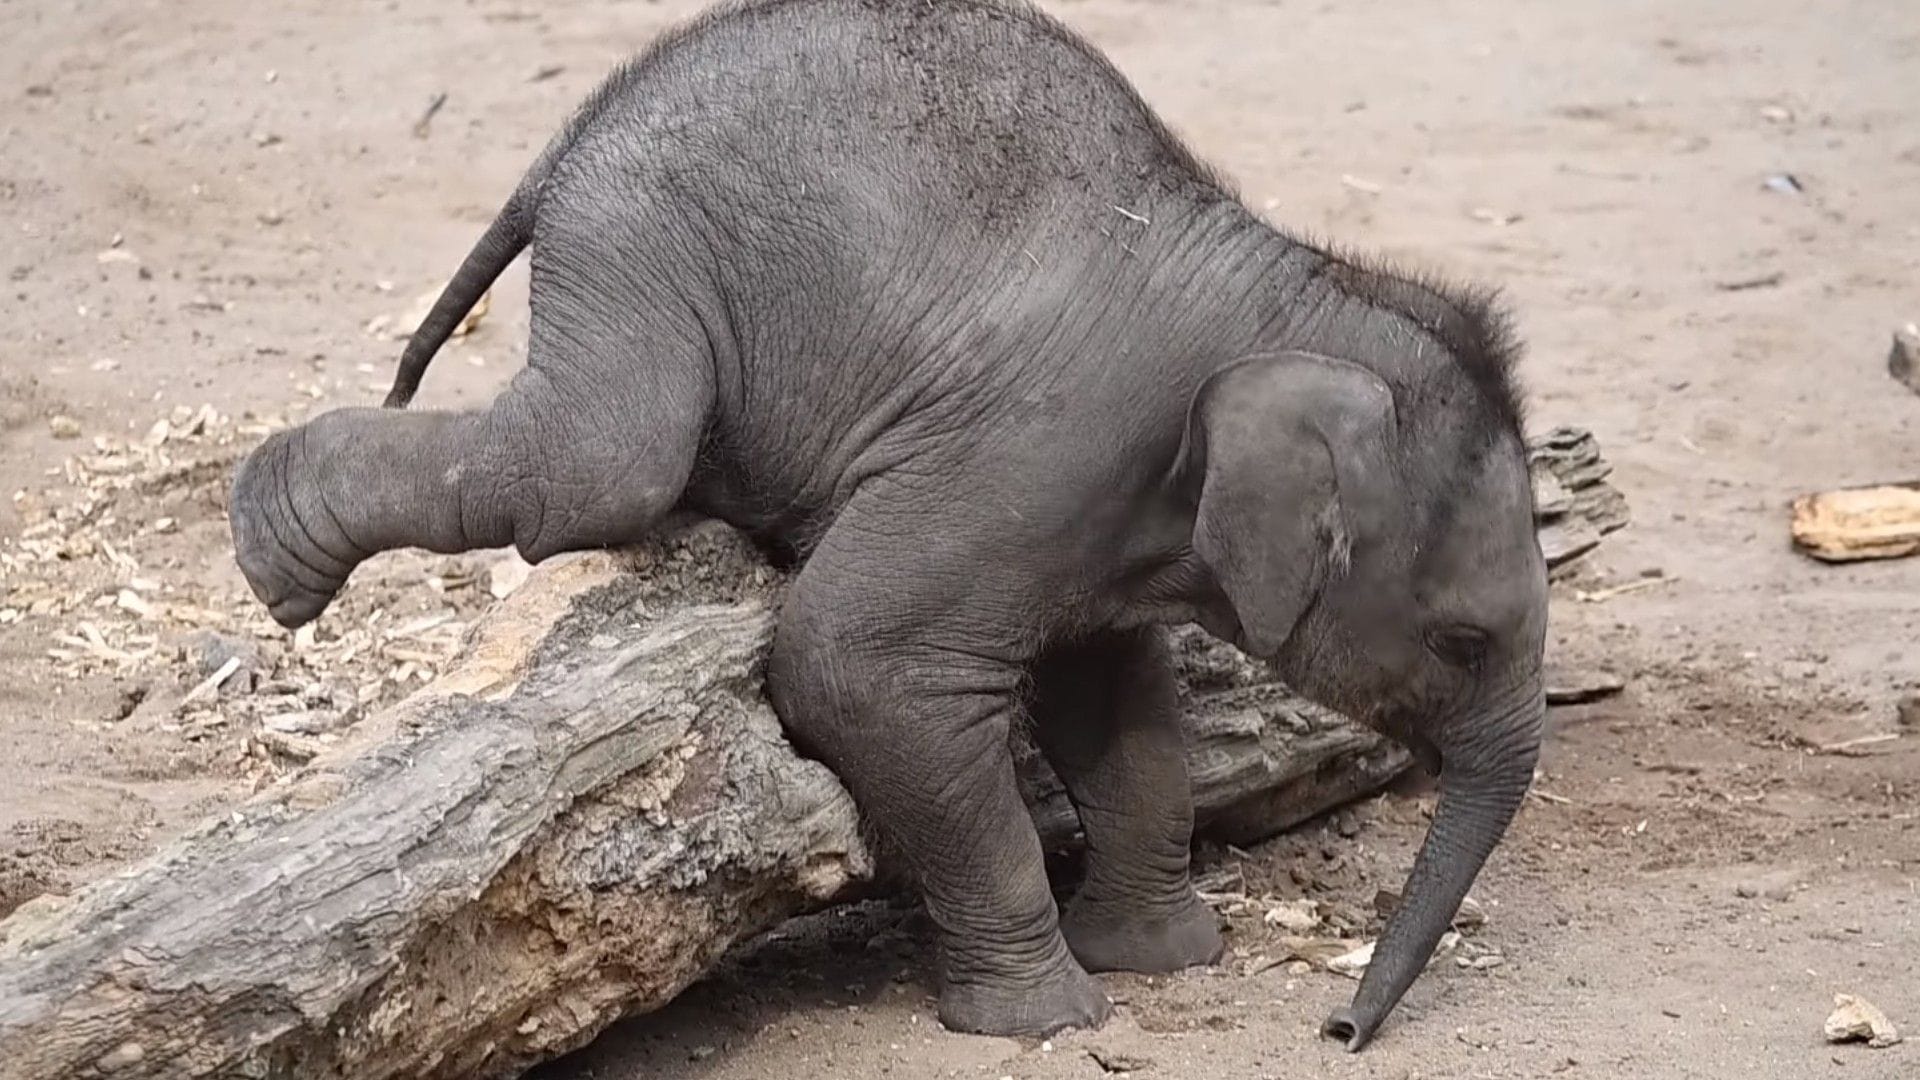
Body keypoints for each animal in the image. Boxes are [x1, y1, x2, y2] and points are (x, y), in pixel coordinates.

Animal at [228, 0, 1543, 1045]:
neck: (1295, 293)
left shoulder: (1094, 512)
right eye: (1461, 641)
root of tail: (570, 138)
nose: (1340, 1029)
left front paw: (1161, 959)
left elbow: (1117, 706)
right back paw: (270, 550)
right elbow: (855, 663)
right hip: (642, 244)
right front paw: (1049, 1021)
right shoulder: (1033, 453)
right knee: (595, 467)